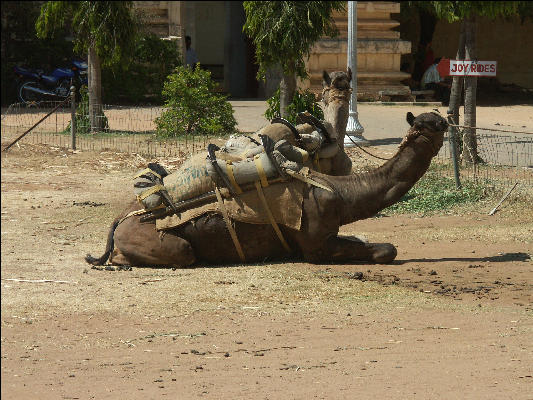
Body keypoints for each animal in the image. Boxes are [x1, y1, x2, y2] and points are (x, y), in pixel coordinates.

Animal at [87, 111, 448, 268]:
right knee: (183, 252)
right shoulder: (315, 246)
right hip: (164, 242)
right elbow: (387, 250)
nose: (447, 119)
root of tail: (121, 219)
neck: (342, 194)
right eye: (433, 123)